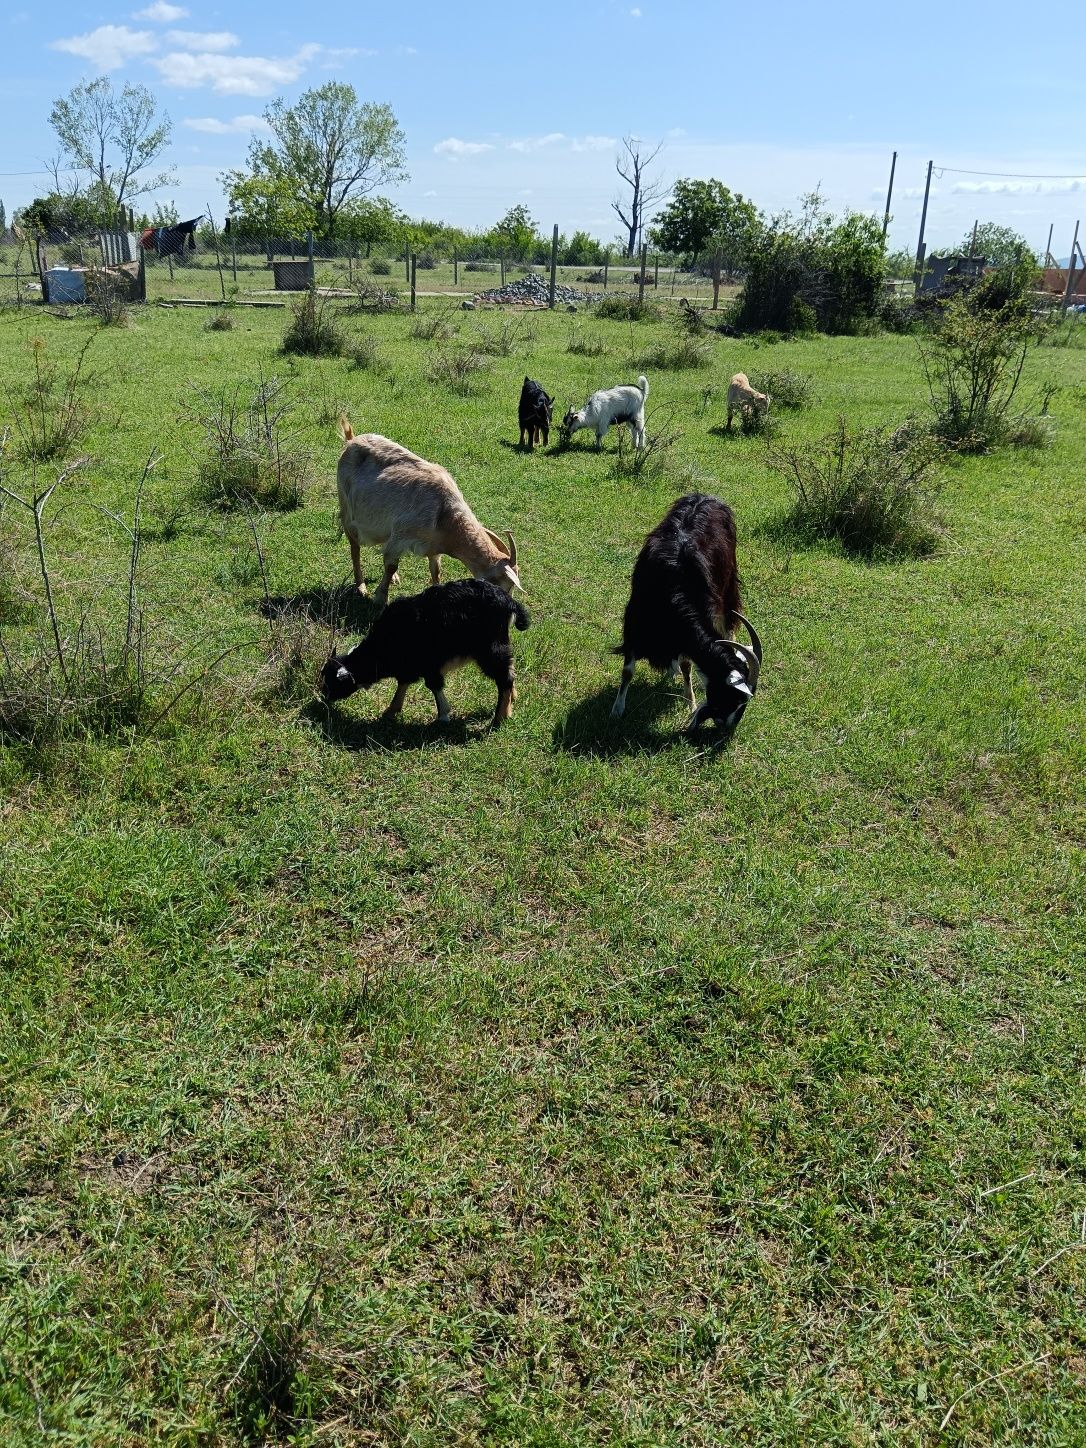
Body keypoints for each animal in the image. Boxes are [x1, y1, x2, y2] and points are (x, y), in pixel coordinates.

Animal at [318, 576, 532, 729]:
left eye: (333, 683)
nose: (323, 698)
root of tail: (509, 601)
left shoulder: (430, 665)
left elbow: (433, 686)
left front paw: (443, 715)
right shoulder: (409, 667)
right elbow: (403, 684)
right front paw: (391, 711)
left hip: (489, 651)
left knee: (504, 678)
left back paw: (499, 718)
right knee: (510, 669)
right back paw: (511, 701)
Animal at [340, 414, 527, 605]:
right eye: (507, 584)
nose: (507, 602)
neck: (444, 515)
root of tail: (351, 440)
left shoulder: (432, 548)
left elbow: (436, 571)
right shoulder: (401, 535)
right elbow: (391, 564)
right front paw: (381, 598)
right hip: (346, 507)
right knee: (354, 546)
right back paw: (361, 587)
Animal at [613, 492, 764, 735]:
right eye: (736, 699)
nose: (728, 728)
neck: (672, 587)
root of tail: (707, 497)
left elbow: (686, 665)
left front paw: (690, 701)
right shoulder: (635, 622)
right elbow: (628, 671)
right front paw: (617, 710)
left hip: (728, 584)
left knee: (729, 622)